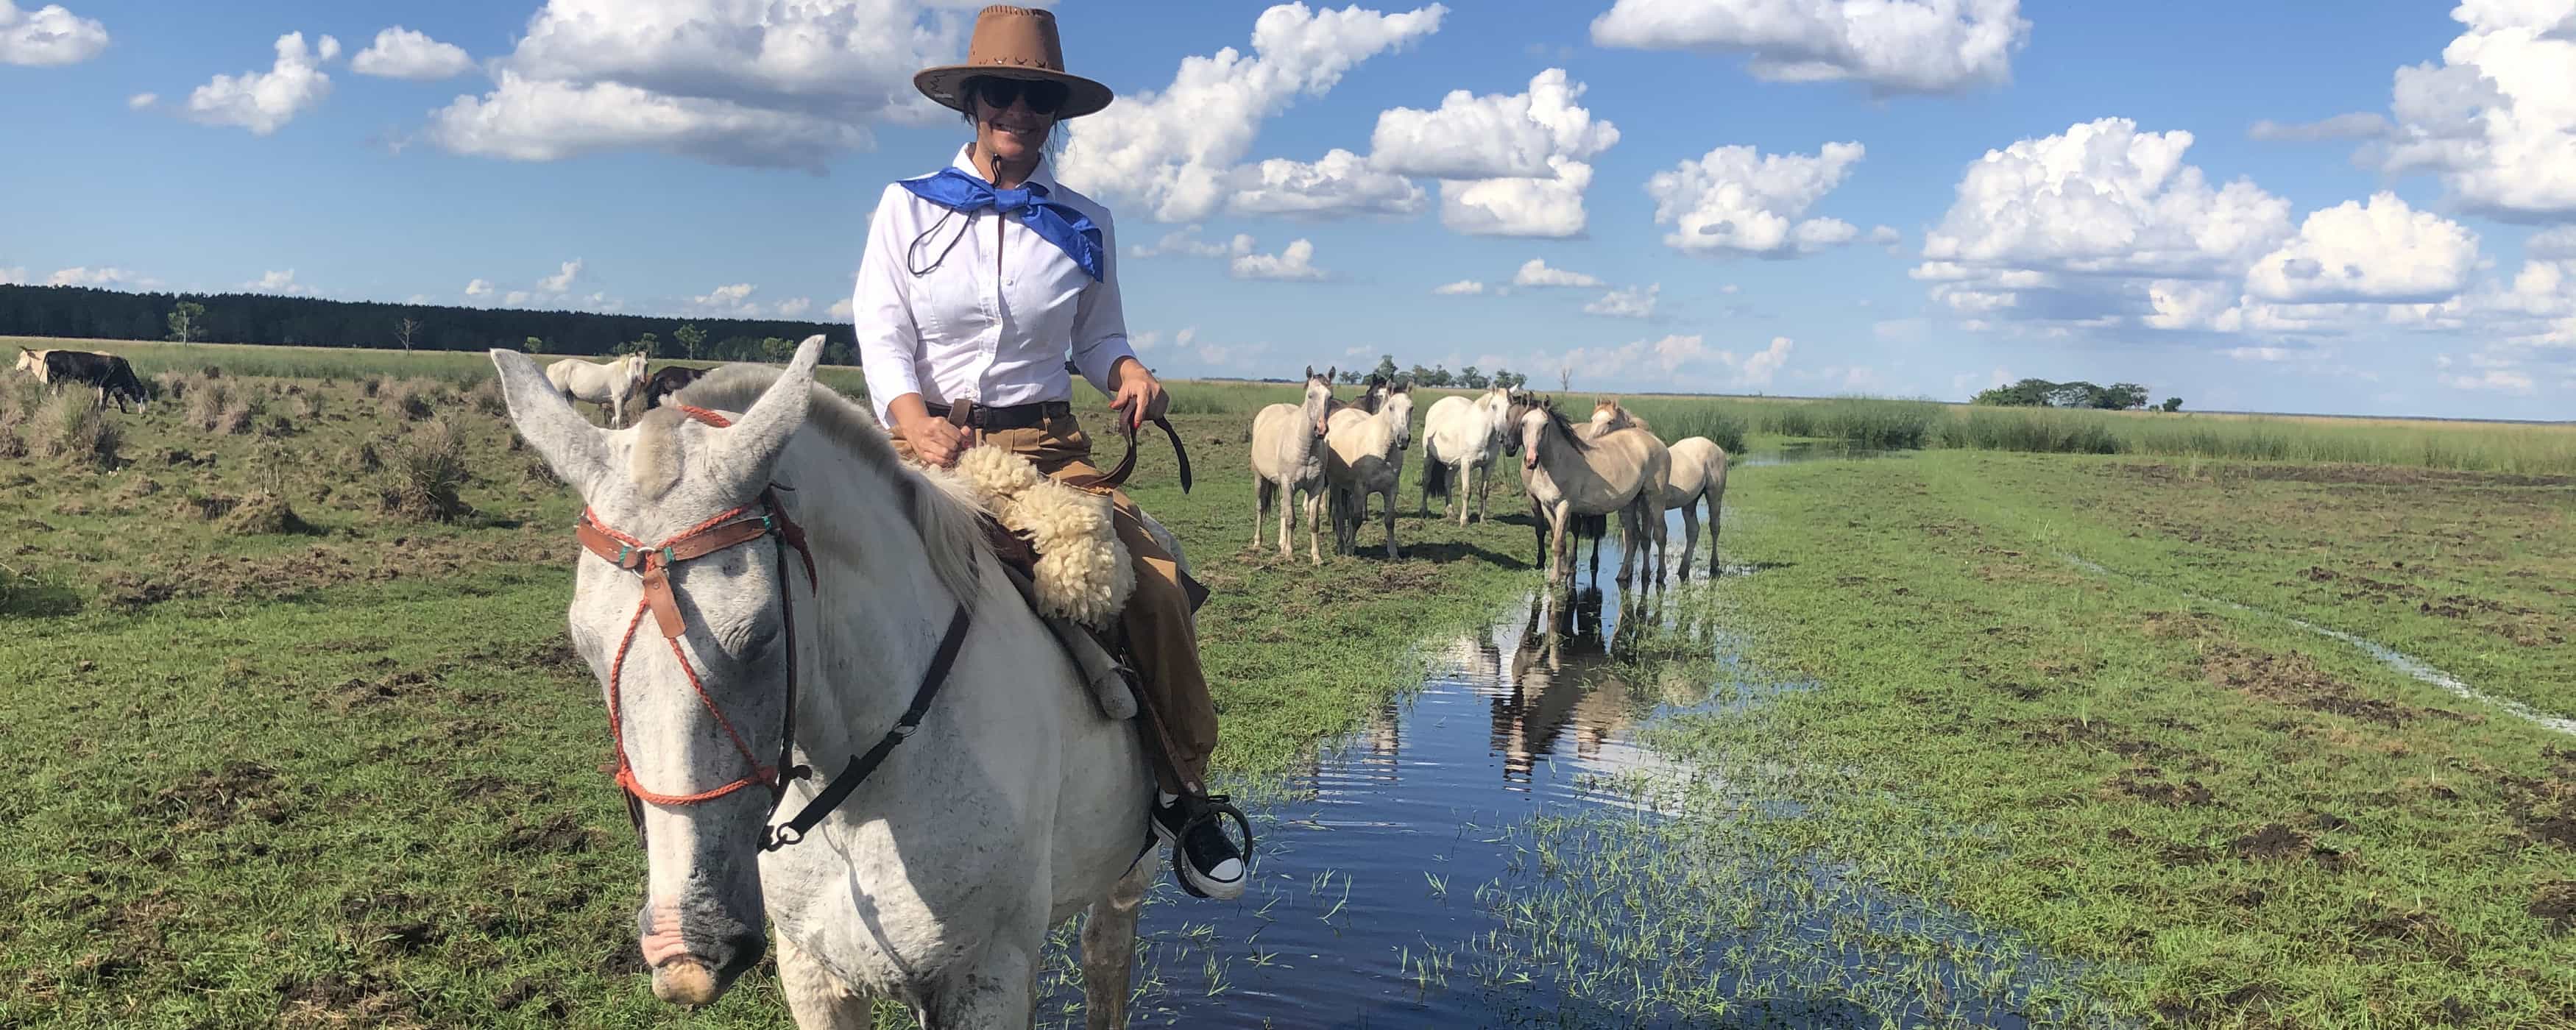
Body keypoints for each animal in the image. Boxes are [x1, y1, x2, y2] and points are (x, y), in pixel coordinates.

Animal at [545, 352, 650, 428]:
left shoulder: (623, 401)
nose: (643, 380)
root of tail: (551, 366)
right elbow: (618, 419)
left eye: (647, 364)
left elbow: (616, 419)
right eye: (637, 363)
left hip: (569, 396)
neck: (625, 374)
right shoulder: (618, 400)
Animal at [1250, 366, 1337, 565]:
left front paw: (1317, 557)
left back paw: (1282, 544)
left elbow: (1313, 522)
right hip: (1260, 478)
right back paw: (1258, 542)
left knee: (1283, 507)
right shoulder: (1288, 484)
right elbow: (1291, 520)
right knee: (1260, 507)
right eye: (1310, 395)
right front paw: (1290, 554)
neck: (1305, 447)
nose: (1321, 429)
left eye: (1330, 396)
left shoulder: (1316, 487)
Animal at [1324, 381, 1414, 560]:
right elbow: (1356, 518)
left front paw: (1394, 553)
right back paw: (1341, 544)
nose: (1403, 439)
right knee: (1339, 512)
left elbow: (1390, 520)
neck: (1382, 451)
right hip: (1335, 483)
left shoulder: (1391, 489)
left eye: (1411, 408)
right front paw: (1349, 550)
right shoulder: (1361, 488)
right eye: (1391, 407)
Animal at [1419, 384, 1514, 525]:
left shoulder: (1489, 465)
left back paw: (1451, 513)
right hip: (1429, 457)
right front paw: (1464, 521)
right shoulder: (1467, 464)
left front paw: (1482, 520)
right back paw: (1424, 511)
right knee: (1426, 481)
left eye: (1510, 406)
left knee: (1447, 482)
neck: (1481, 433)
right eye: (1494, 406)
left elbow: (1484, 492)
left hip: (1453, 464)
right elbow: (1467, 491)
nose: (1503, 434)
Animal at [1517, 397, 1667, 586]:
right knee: (1633, 536)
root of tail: (1657, 442)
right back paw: (1623, 575)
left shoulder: (1565, 506)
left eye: (1545, 425)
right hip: (1629, 504)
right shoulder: (1547, 506)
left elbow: (1558, 543)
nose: (1531, 460)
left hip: (1656, 500)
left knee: (1661, 535)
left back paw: (1661, 576)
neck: (1556, 464)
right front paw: (1562, 573)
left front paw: (1554, 579)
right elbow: (1557, 539)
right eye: (1523, 423)